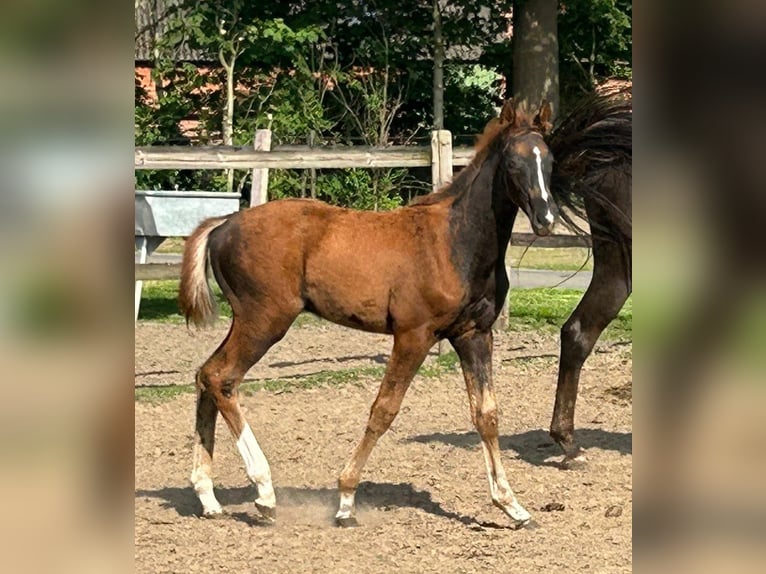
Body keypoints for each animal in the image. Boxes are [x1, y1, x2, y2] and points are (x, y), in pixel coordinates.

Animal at [182, 100, 560, 532]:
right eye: (514, 163)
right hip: (264, 320)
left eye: (549, 159)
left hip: (246, 321)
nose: (547, 220)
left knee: (205, 375)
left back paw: (208, 497)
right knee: (221, 377)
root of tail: (224, 225)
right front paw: (346, 501)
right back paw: (264, 493)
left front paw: (512, 505)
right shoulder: (414, 335)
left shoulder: (474, 334)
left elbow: (486, 414)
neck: (454, 242)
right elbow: (384, 410)